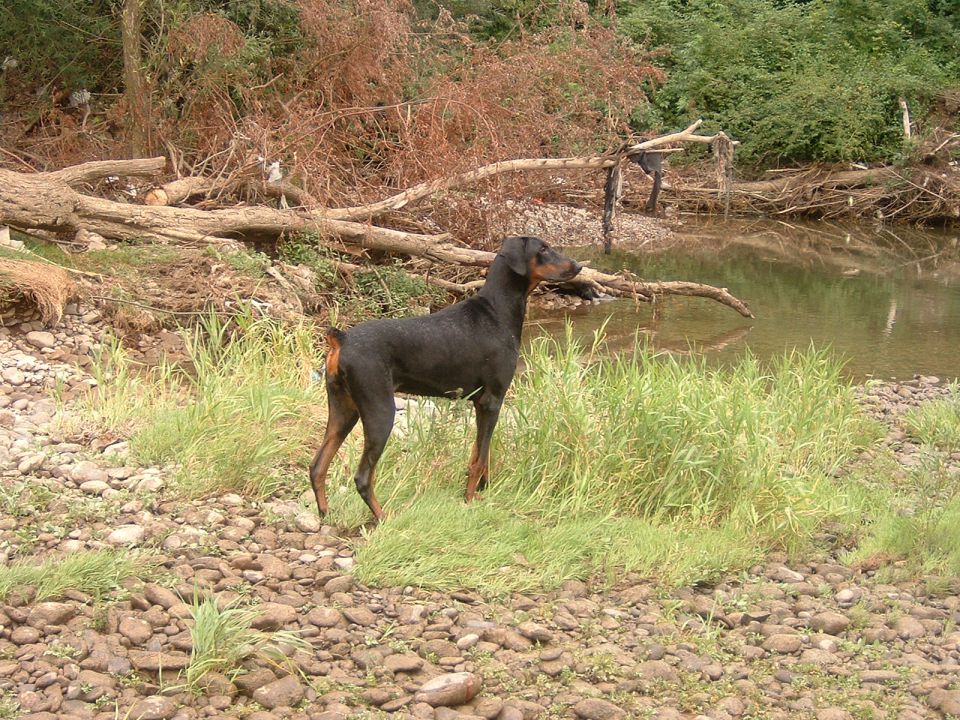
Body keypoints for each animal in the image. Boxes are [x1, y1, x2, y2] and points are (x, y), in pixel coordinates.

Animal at [310, 238, 576, 524]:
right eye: (543, 249)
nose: (578, 266)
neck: (497, 311)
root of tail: (342, 339)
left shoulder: (479, 404)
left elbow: (477, 455)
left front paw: (479, 492)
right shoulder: (492, 400)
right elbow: (481, 459)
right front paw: (470, 499)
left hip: (343, 410)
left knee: (317, 467)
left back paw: (325, 514)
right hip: (380, 411)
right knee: (362, 477)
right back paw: (384, 516)